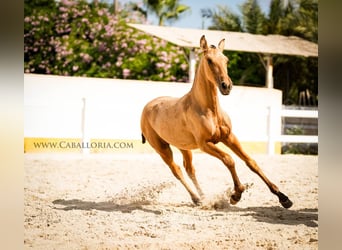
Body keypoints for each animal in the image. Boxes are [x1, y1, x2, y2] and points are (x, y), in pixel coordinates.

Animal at [140, 34, 292, 208]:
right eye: (209, 60)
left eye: (226, 60)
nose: (226, 86)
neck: (209, 110)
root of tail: (147, 107)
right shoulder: (205, 144)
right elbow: (229, 160)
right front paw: (236, 194)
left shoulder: (229, 137)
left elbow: (251, 162)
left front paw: (283, 198)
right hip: (162, 149)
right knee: (176, 170)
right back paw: (197, 198)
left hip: (183, 146)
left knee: (189, 169)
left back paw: (202, 197)